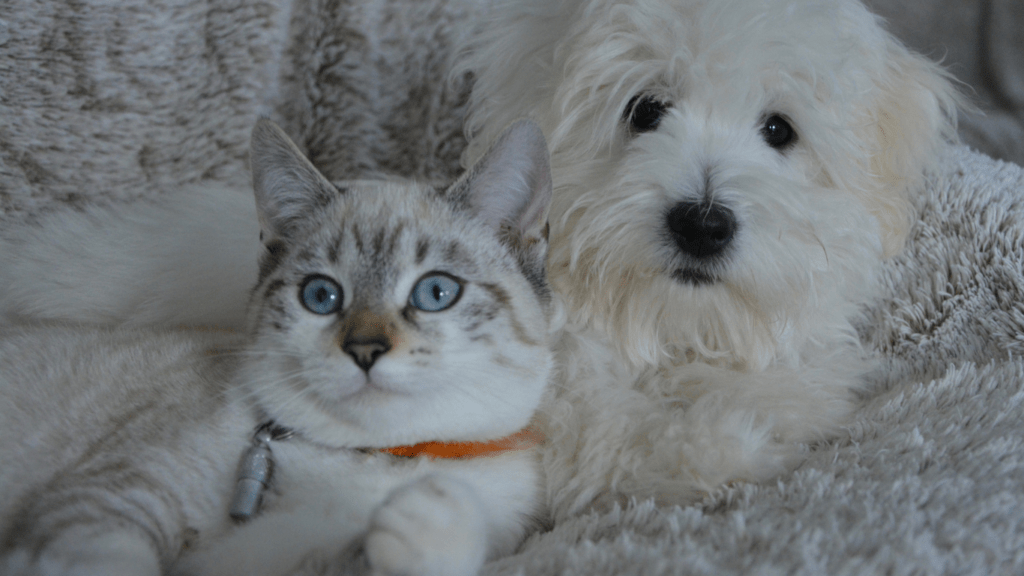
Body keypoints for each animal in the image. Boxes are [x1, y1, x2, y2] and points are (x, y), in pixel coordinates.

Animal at [2, 117, 561, 573]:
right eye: (321, 296)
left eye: (436, 293)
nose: (364, 350)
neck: (375, 459)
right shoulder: (112, 503)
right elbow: (111, 560)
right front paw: (431, 511)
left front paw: (430, 514)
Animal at [456, 0, 958, 516]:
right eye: (646, 110)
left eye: (779, 130)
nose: (702, 226)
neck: (676, 328)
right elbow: (613, 438)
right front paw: (729, 447)